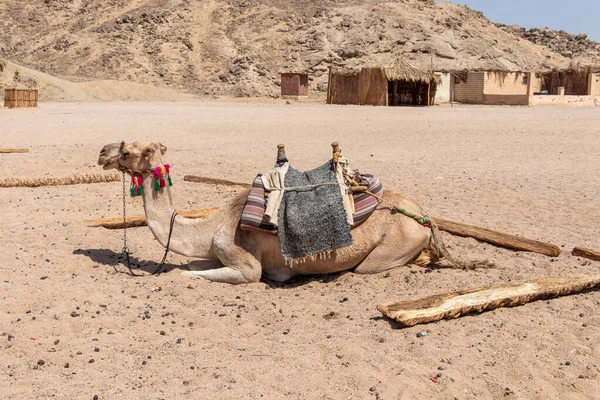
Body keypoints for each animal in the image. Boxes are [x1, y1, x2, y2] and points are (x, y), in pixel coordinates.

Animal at [96, 141, 486, 284]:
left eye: (128, 151)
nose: (102, 152)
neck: (212, 227)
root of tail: (425, 216)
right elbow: (194, 265)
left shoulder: (245, 262)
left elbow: (195, 274)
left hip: (386, 250)